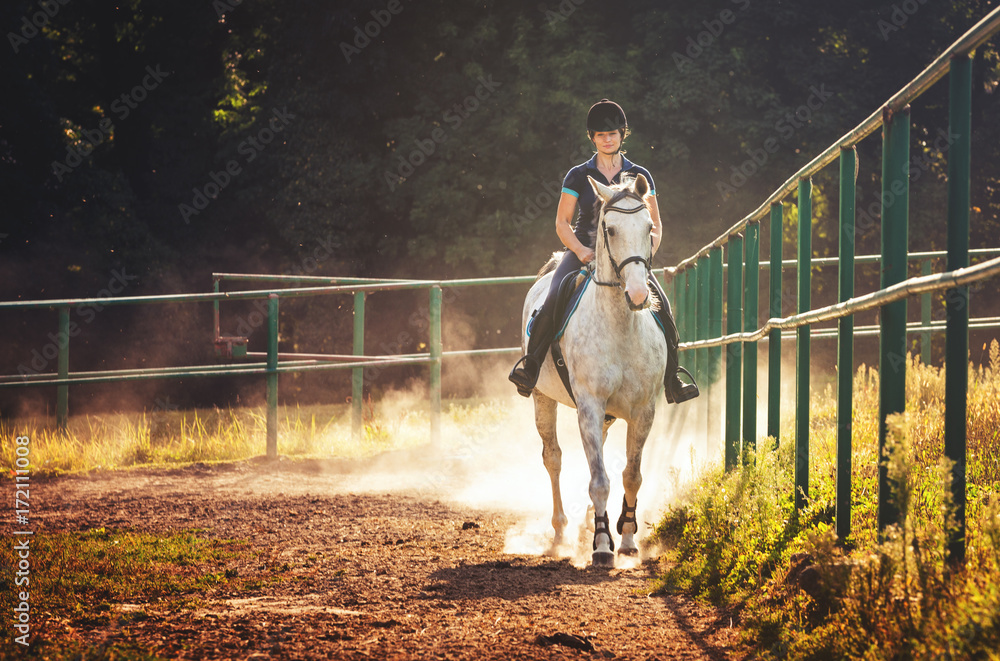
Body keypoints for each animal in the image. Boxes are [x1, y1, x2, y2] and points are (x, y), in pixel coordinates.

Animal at [524, 173, 664, 564]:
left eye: (649, 227)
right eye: (610, 229)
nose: (637, 295)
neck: (620, 328)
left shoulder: (643, 410)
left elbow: (632, 475)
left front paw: (628, 539)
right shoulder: (588, 405)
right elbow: (599, 479)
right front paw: (602, 545)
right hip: (543, 398)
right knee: (553, 458)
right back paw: (561, 532)